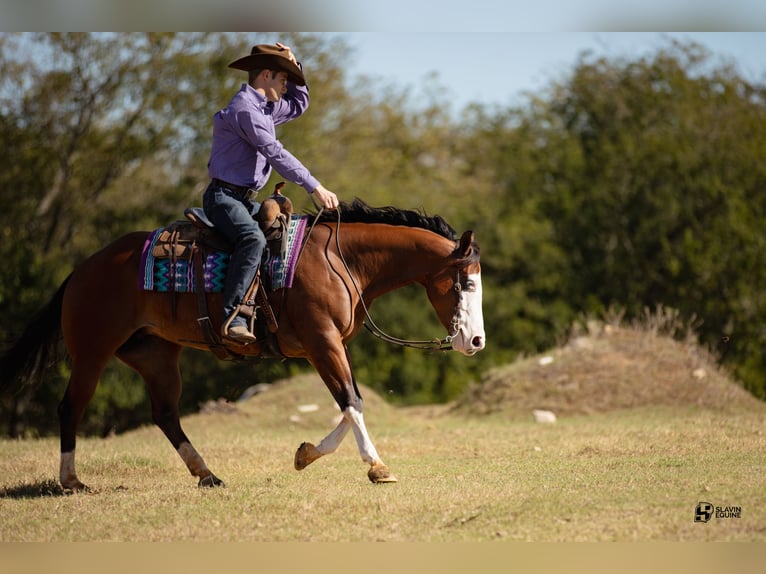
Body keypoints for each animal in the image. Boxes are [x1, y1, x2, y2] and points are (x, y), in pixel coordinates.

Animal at [1, 198, 486, 490]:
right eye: (464, 283)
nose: (476, 341)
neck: (337, 259)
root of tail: (83, 269)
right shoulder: (321, 342)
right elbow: (351, 402)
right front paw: (377, 466)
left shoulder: (330, 345)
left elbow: (352, 403)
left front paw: (306, 454)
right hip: (92, 353)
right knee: (71, 408)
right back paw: (71, 480)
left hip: (157, 357)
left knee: (165, 414)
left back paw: (207, 474)